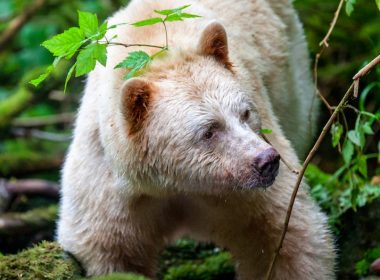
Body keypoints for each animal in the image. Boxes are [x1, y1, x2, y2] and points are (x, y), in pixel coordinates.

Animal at [57, 0, 336, 278]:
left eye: (245, 113)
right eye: (209, 130)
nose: (267, 161)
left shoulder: (246, 192)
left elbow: (287, 233)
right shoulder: (112, 189)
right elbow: (109, 251)